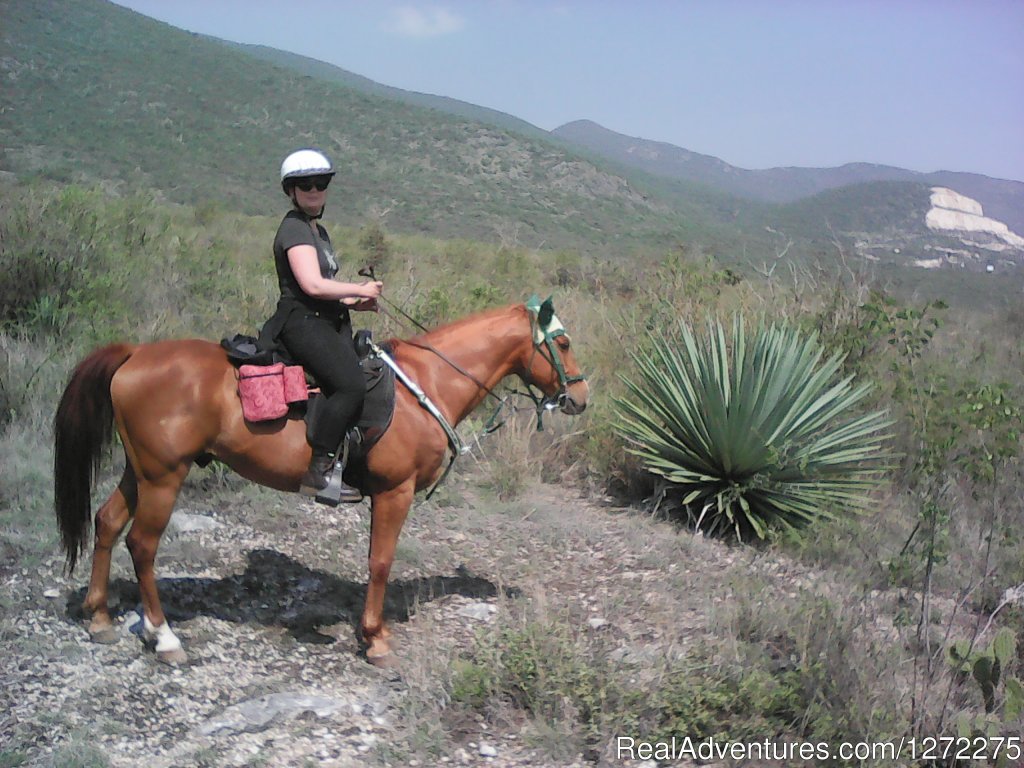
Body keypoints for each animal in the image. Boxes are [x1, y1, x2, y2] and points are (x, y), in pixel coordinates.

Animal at [54, 296, 585, 663]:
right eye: (561, 343)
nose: (580, 397)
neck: (427, 384)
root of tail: (135, 354)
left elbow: (375, 561)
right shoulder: (394, 492)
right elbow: (380, 563)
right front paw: (375, 639)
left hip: (140, 469)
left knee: (107, 522)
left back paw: (99, 616)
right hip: (164, 476)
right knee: (142, 544)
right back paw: (163, 637)